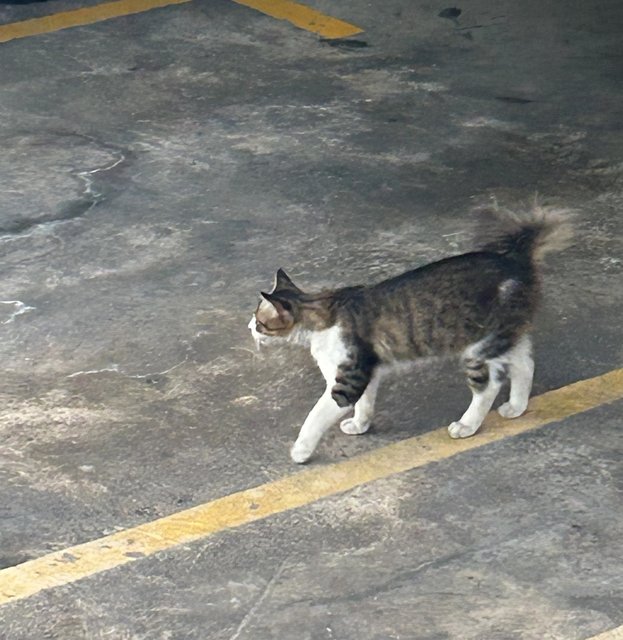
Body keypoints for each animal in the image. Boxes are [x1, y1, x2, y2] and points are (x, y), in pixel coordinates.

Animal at [249, 208, 572, 462]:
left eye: (259, 320)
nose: (249, 327)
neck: (321, 312)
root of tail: (515, 260)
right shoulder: (367, 371)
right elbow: (365, 404)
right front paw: (360, 425)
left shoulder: (347, 381)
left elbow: (314, 417)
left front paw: (300, 450)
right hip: (503, 335)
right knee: (525, 363)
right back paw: (516, 407)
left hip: (477, 348)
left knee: (489, 386)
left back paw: (467, 425)